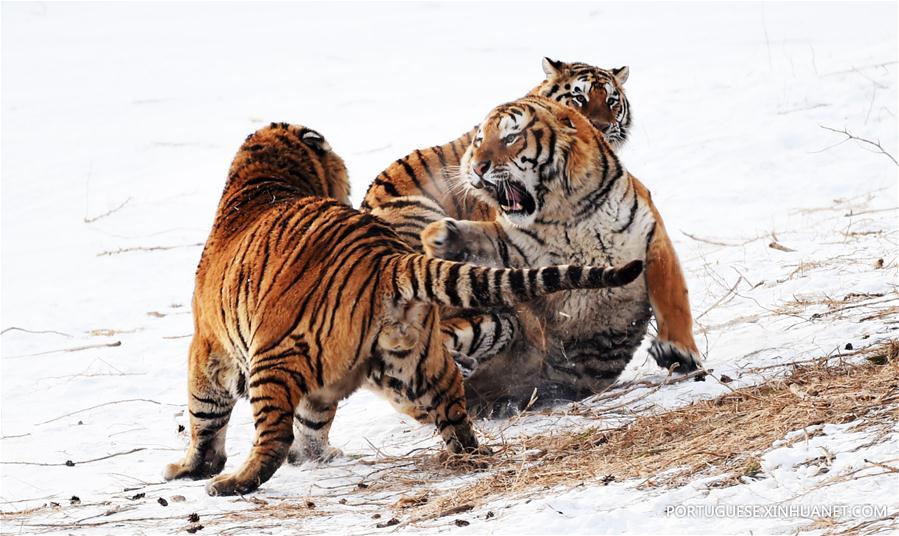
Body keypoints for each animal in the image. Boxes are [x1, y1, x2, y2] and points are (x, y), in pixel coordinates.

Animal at [162, 122, 646, 496]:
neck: (262, 180)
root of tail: (387, 258)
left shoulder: (209, 348)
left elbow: (204, 415)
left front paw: (192, 469)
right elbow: (315, 417)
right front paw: (316, 457)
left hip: (274, 357)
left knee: (272, 437)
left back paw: (231, 484)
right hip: (415, 359)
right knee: (452, 405)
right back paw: (470, 455)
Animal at [419, 95, 701, 414]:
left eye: (510, 137)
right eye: (479, 141)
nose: (477, 167)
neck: (566, 213)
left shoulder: (649, 236)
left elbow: (672, 299)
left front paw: (678, 351)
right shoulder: (515, 251)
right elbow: (486, 242)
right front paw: (440, 236)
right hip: (490, 324)